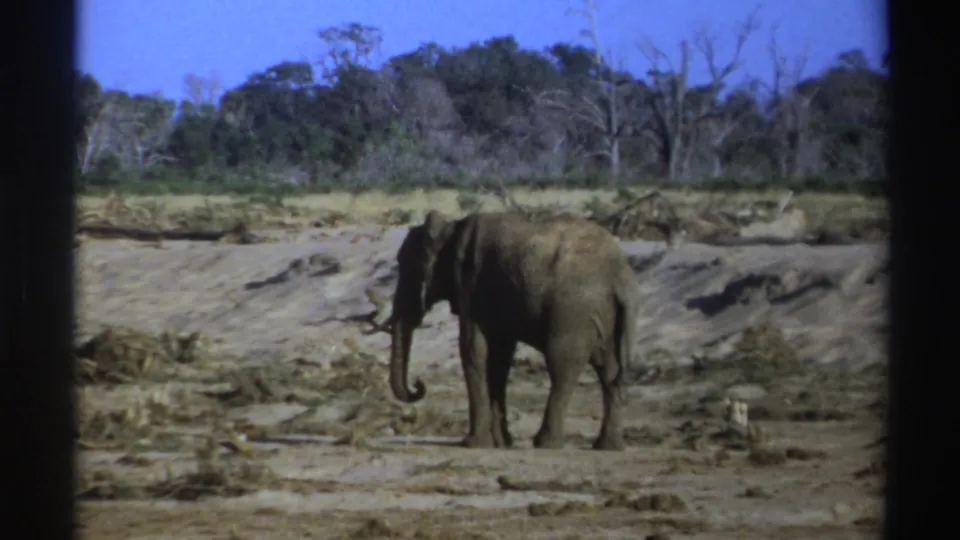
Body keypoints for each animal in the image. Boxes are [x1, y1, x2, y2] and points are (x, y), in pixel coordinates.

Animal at [380, 210, 640, 451]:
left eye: (405, 265)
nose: (419, 384)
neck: (450, 228)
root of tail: (621, 276)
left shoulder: (471, 285)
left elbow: (473, 350)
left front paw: (474, 444)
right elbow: (499, 357)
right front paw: (501, 443)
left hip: (573, 311)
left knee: (562, 367)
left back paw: (546, 443)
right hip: (603, 314)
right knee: (609, 370)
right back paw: (608, 446)